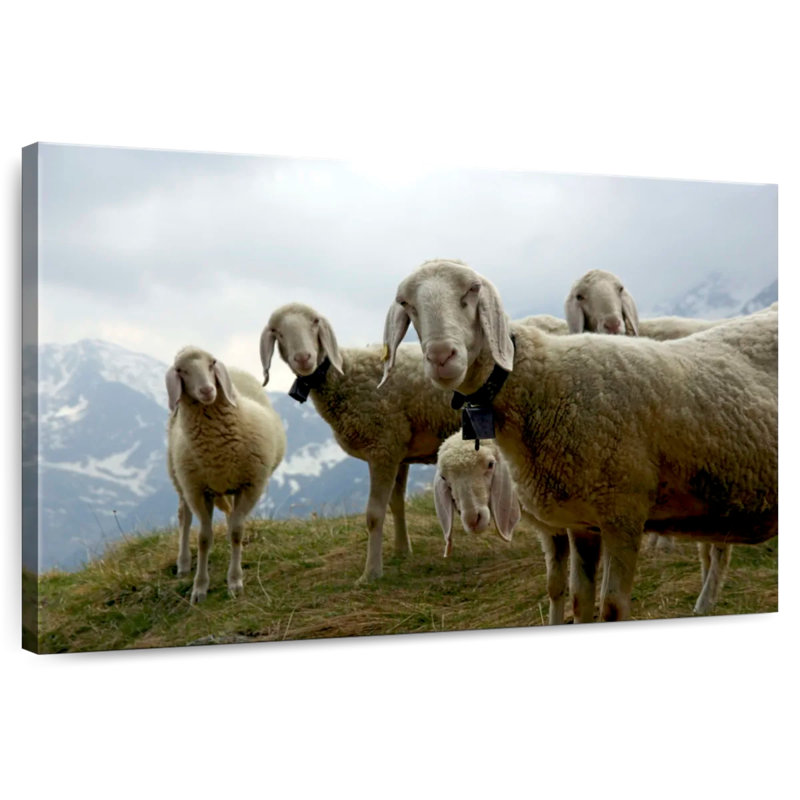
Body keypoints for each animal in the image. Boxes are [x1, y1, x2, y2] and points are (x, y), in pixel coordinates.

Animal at [166, 346, 286, 603]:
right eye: (181, 370)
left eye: (211, 364)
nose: (207, 390)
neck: (217, 450)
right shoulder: (198, 491)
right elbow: (203, 538)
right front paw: (199, 587)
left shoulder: (250, 485)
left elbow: (236, 532)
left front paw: (235, 581)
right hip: (179, 478)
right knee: (184, 517)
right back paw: (183, 563)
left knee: (230, 518)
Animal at [259, 303, 461, 583]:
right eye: (277, 332)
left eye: (315, 322)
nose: (303, 358)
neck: (346, 373)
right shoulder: (397, 449)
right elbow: (396, 503)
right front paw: (402, 551)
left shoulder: (382, 446)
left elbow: (374, 514)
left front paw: (371, 573)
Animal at [380, 259, 777, 622]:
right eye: (406, 303)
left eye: (473, 290)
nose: (441, 357)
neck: (543, 384)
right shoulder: (583, 522)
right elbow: (577, 600)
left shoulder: (623, 512)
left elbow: (612, 609)